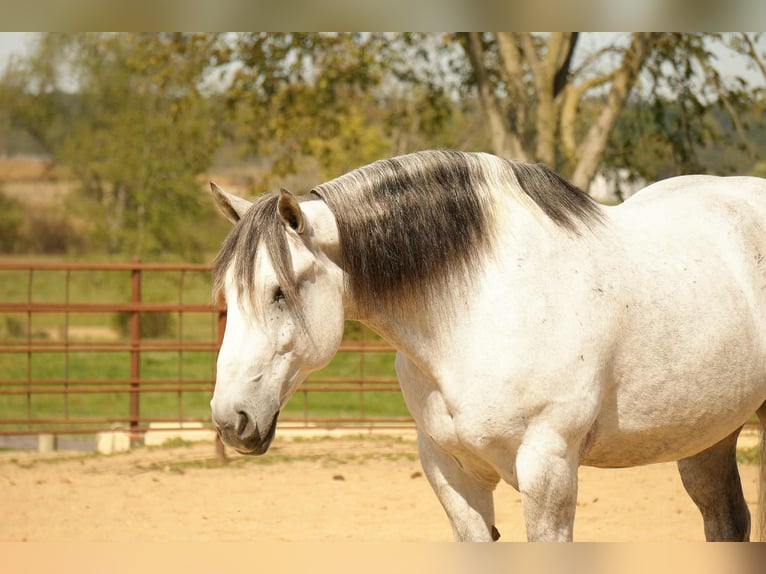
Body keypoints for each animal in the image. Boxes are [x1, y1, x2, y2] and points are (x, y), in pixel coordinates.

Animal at [209, 149, 766, 541]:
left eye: (279, 292)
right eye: (229, 296)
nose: (230, 419)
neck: (478, 307)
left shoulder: (548, 469)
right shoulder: (452, 474)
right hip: (709, 435)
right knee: (727, 521)